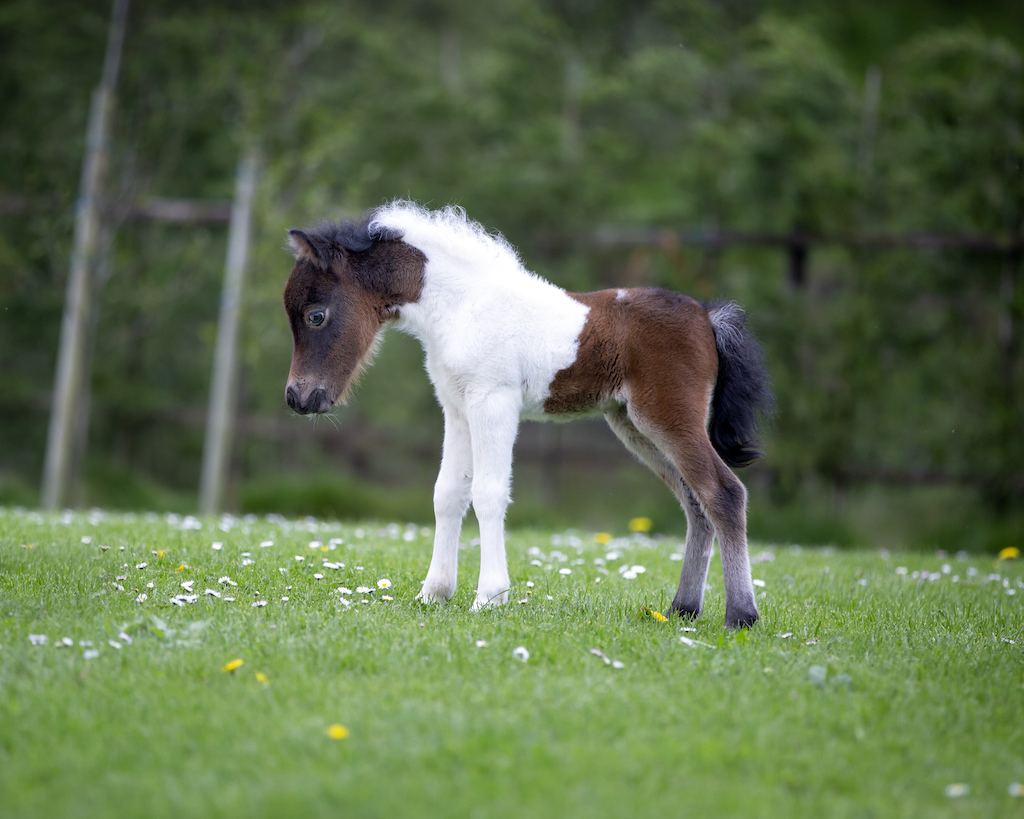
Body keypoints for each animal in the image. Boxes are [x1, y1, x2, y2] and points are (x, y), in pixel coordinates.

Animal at [283, 201, 773, 628]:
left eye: (316, 316)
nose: (297, 397)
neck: (463, 305)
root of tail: (707, 317)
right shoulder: (457, 409)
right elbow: (447, 494)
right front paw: (433, 593)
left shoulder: (493, 403)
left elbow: (488, 493)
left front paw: (489, 597)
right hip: (634, 426)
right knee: (695, 503)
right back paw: (682, 610)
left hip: (670, 416)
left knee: (723, 492)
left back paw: (741, 616)